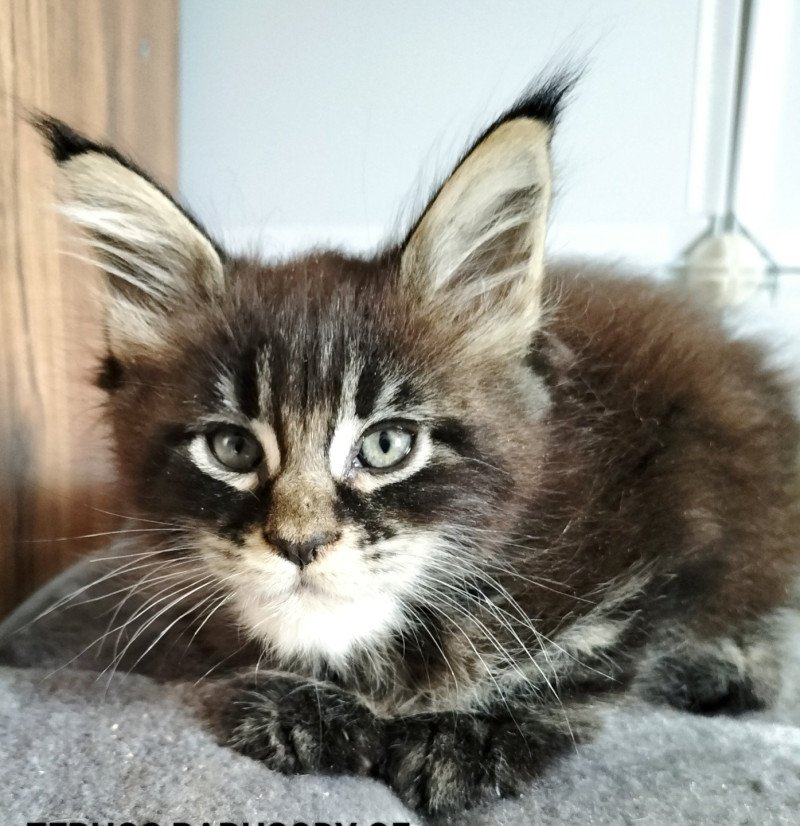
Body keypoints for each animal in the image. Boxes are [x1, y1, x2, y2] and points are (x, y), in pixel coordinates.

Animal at [32, 80, 800, 816]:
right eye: (232, 449)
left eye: (387, 445)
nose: (301, 543)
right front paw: (303, 701)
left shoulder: (675, 502)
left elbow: (596, 648)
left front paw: (470, 735)